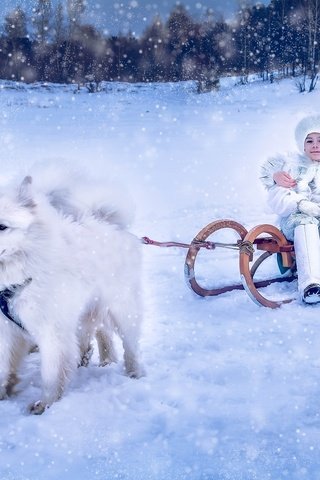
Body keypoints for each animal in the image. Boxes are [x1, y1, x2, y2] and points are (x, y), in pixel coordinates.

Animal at [0, 171, 144, 414]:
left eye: (2, 227)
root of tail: (106, 221)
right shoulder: (6, 331)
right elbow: (3, 366)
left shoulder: (51, 330)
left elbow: (51, 373)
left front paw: (45, 404)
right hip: (88, 310)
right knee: (99, 333)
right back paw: (100, 360)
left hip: (121, 309)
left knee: (130, 345)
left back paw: (135, 373)